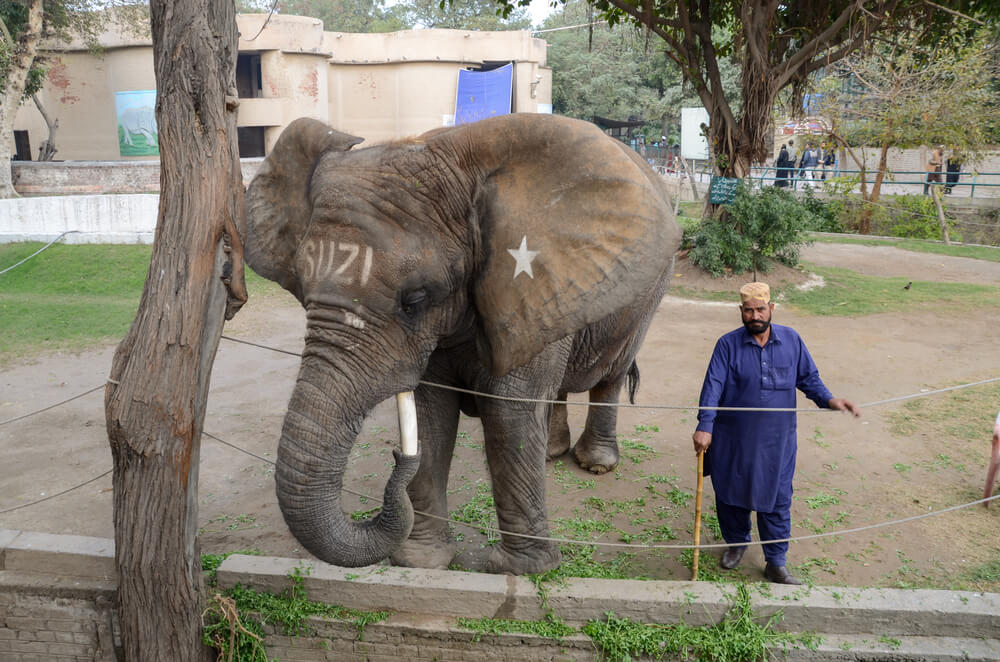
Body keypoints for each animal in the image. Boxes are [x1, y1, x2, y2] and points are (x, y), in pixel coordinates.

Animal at [244, 113, 680, 576]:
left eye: (415, 300)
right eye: (302, 289)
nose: (398, 458)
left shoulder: (528, 283)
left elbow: (509, 413)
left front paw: (519, 572)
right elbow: (430, 415)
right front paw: (421, 562)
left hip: (649, 291)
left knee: (612, 374)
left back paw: (596, 464)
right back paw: (550, 454)